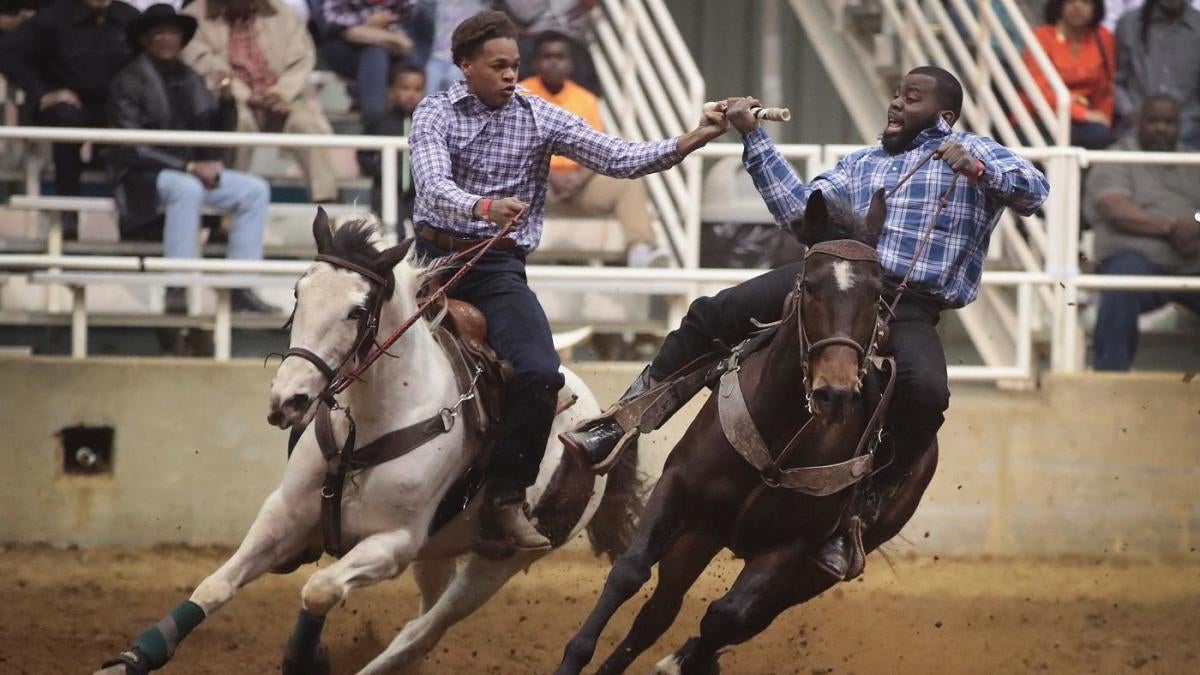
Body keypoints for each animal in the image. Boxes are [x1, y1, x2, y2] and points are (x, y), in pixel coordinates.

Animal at [97, 211, 643, 672]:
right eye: (297, 293)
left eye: (358, 311)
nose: (289, 400)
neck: (373, 423)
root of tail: (604, 422)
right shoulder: (284, 513)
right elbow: (216, 586)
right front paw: (135, 656)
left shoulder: (394, 544)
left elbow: (319, 589)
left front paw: (304, 659)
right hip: (439, 552)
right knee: (419, 625)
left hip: (499, 562)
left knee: (421, 633)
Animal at [549, 189, 936, 672]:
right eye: (810, 285)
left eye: (877, 293)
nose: (835, 392)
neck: (781, 436)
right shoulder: (679, 489)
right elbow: (629, 571)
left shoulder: (791, 546)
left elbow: (725, 618)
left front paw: (684, 661)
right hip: (702, 533)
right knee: (660, 609)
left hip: (806, 575)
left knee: (740, 619)